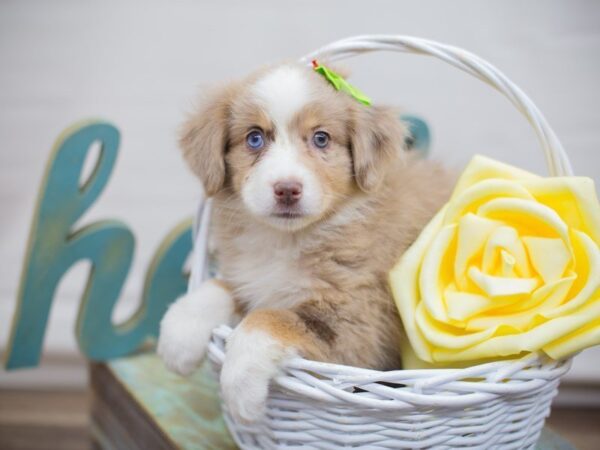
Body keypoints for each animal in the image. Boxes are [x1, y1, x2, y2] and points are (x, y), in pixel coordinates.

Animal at [157, 62, 452, 422]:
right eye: (254, 138)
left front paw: (240, 389)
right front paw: (179, 335)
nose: (287, 189)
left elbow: (269, 319)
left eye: (321, 138)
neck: (287, 239)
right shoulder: (253, 277)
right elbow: (222, 287)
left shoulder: (360, 326)